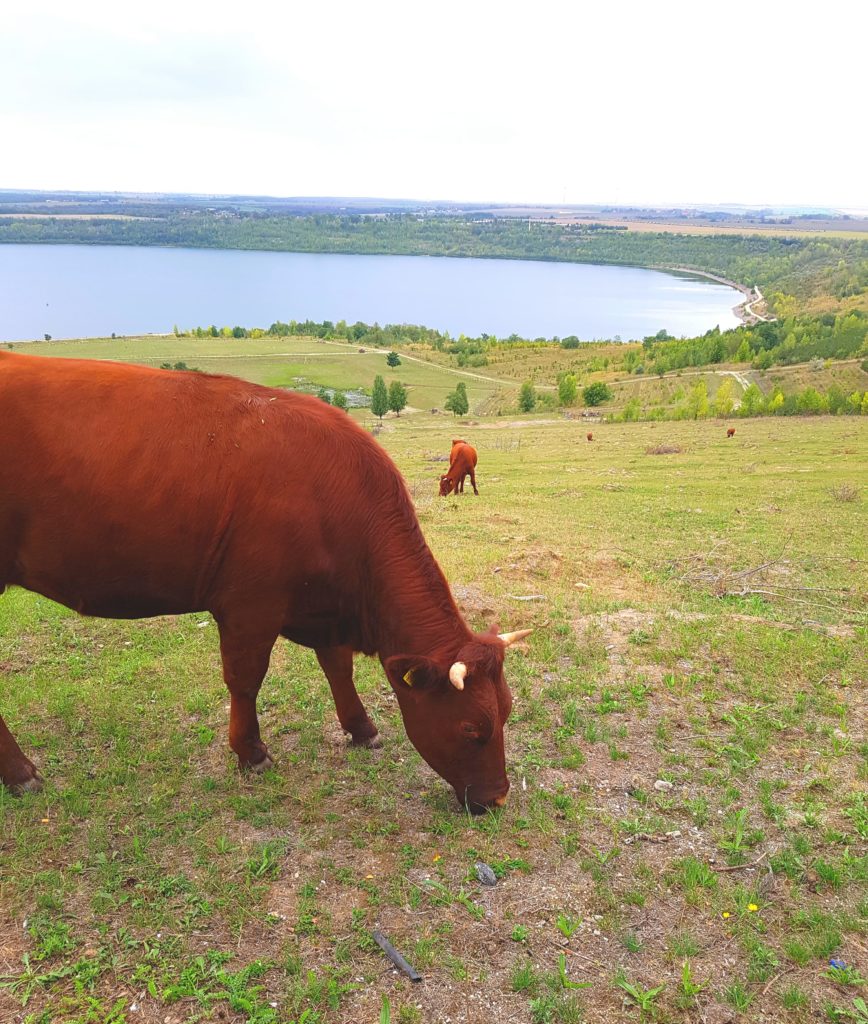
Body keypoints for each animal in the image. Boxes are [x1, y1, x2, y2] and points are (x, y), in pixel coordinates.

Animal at [0, 356, 528, 811]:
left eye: (505, 711)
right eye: (471, 729)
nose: (499, 798)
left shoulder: (321, 605)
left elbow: (337, 667)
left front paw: (362, 728)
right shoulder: (250, 606)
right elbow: (245, 678)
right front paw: (251, 752)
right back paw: (22, 773)